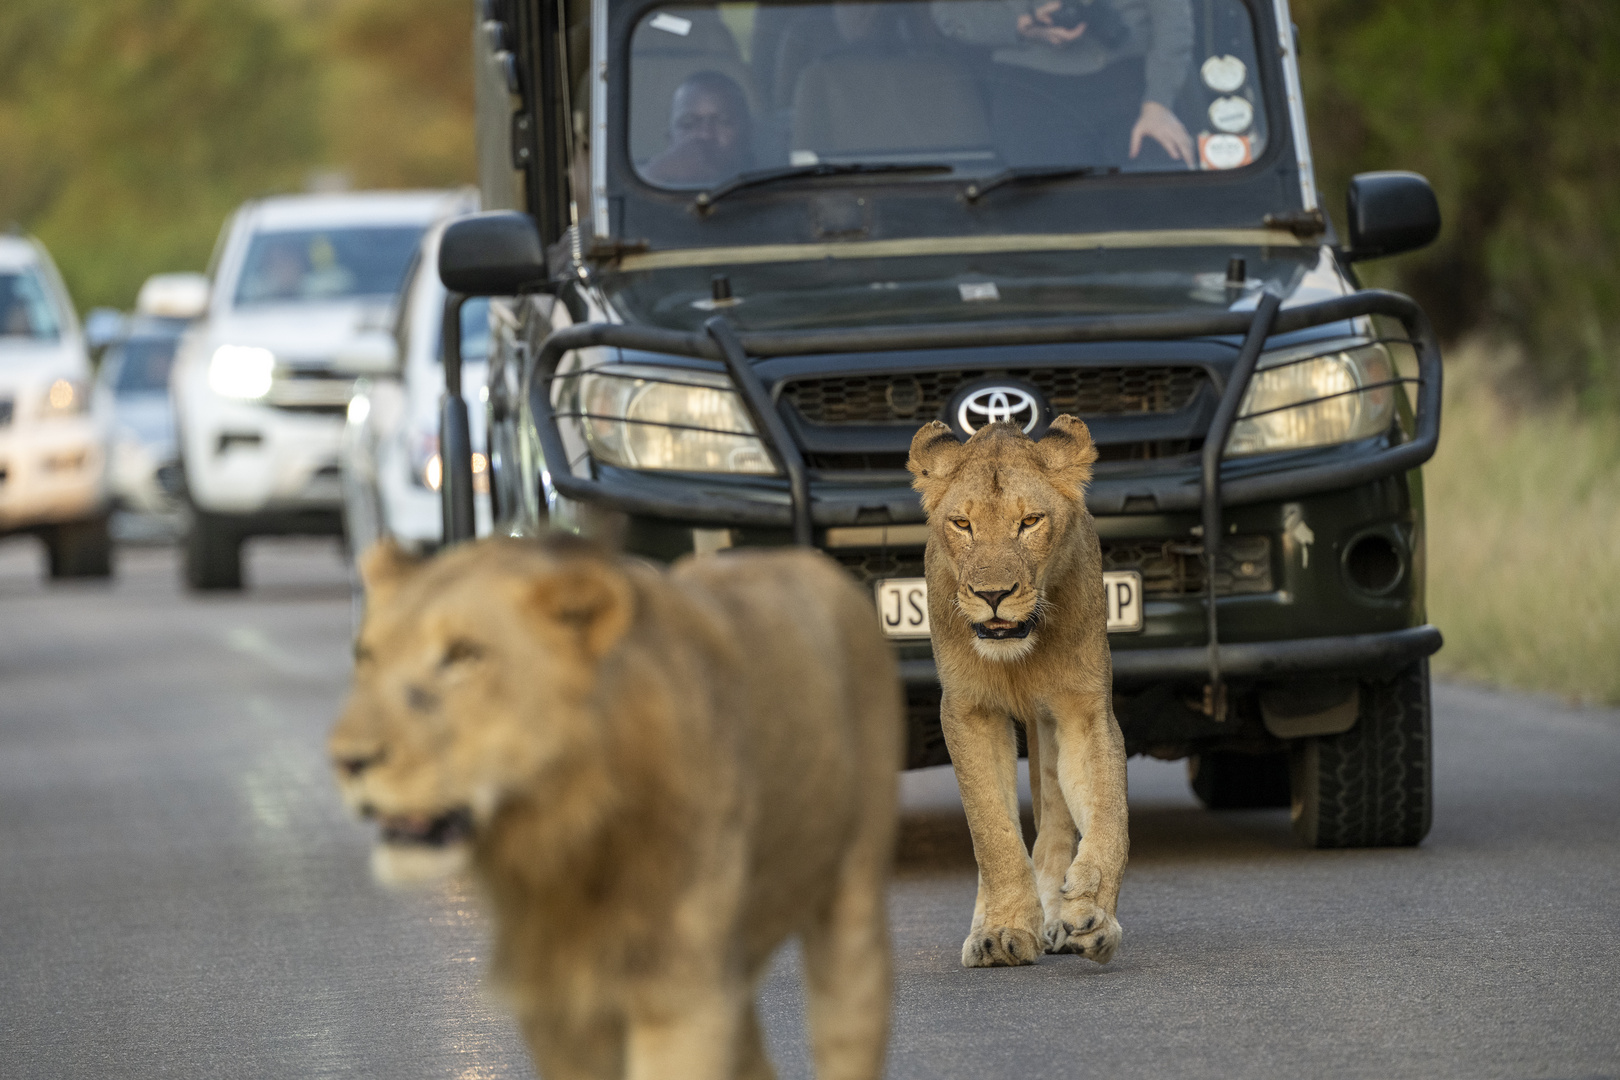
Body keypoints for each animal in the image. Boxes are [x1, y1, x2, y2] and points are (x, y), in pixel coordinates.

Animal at [330, 540, 907, 1080]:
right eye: (366, 658)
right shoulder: (558, 1009)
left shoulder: (681, 996)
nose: (347, 759)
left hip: (847, 920)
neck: (564, 840)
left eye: (464, 655)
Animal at [913, 417, 1127, 965]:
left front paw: (1090, 911)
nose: (993, 596)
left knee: (1054, 824)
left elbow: (1109, 814)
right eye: (962, 524)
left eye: (1030, 521)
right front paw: (1004, 929)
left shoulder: (1083, 711)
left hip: (1048, 724)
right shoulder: (969, 711)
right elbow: (992, 831)